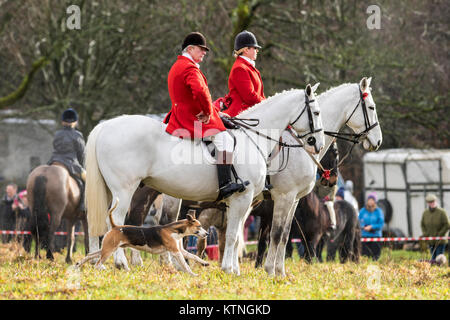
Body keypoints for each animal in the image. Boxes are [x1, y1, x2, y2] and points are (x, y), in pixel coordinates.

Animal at [84, 84, 324, 274]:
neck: (254, 138)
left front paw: (234, 269)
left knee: (99, 221)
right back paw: (121, 263)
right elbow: (237, 235)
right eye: (316, 112)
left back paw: (98, 260)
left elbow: (235, 235)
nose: (318, 144)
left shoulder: (246, 202)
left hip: (110, 190)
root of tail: (106, 125)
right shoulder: (249, 198)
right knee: (117, 221)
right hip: (125, 190)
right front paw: (230, 270)